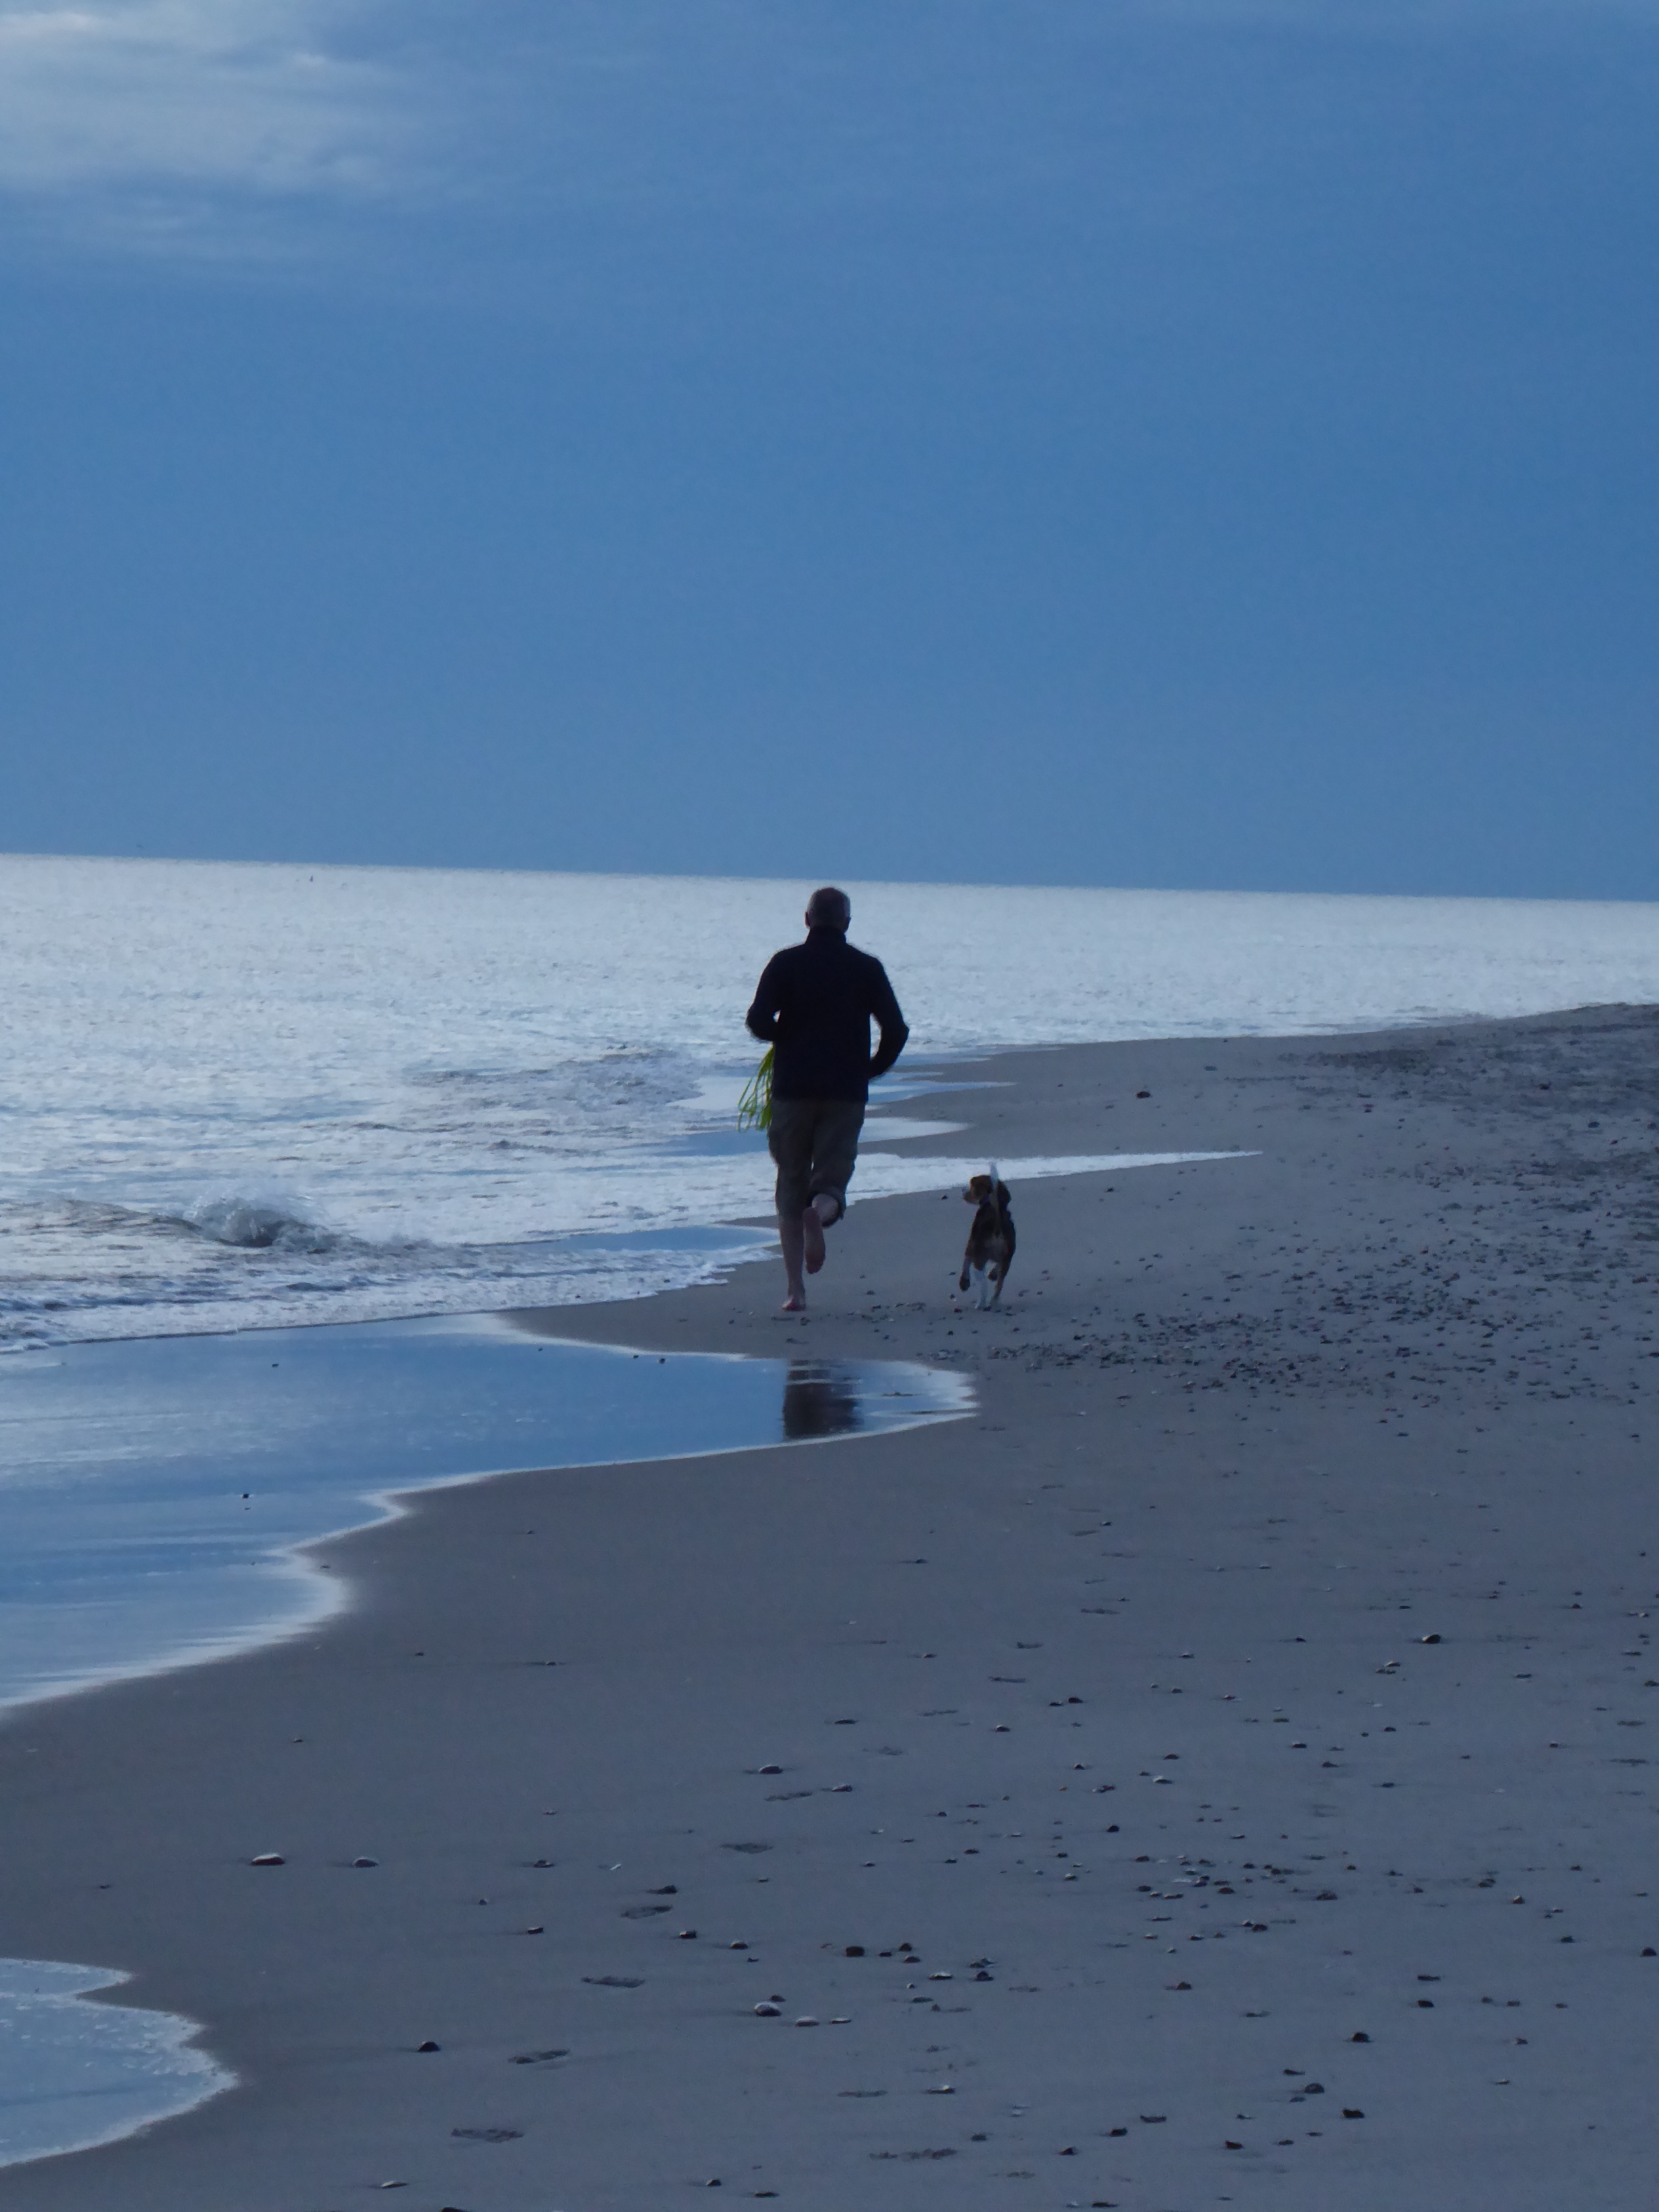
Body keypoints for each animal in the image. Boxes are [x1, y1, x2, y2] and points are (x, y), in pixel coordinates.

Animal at [959, 1163, 1015, 1309]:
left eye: (972, 1185)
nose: (962, 1190)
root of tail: (997, 1221)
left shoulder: (970, 1246)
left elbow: (965, 1263)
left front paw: (964, 1284)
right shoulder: (1006, 1257)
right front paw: (993, 1275)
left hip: (979, 1258)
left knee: (983, 1284)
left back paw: (981, 1303)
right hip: (1007, 1256)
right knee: (999, 1284)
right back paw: (993, 1302)